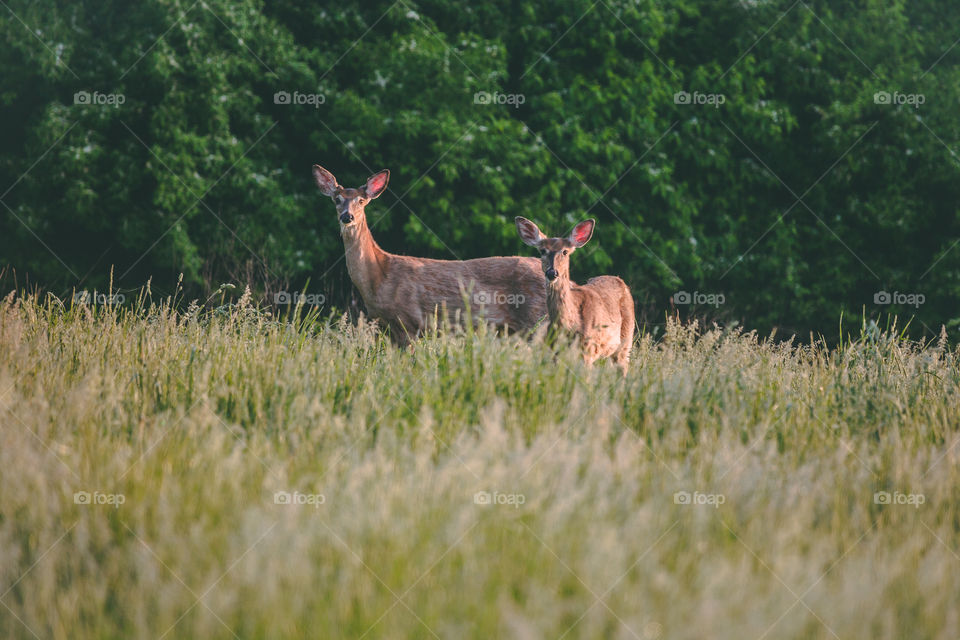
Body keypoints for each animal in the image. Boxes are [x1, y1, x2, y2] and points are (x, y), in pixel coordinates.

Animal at [313, 165, 547, 346]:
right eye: (337, 199)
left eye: (361, 200)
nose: (347, 217)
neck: (379, 277)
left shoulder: (408, 321)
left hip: (535, 318)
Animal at [515, 216, 635, 374]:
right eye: (542, 251)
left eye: (565, 252)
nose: (552, 273)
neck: (569, 326)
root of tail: (620, 281)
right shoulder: (553, 352)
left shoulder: (588, 351)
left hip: (626, 340)